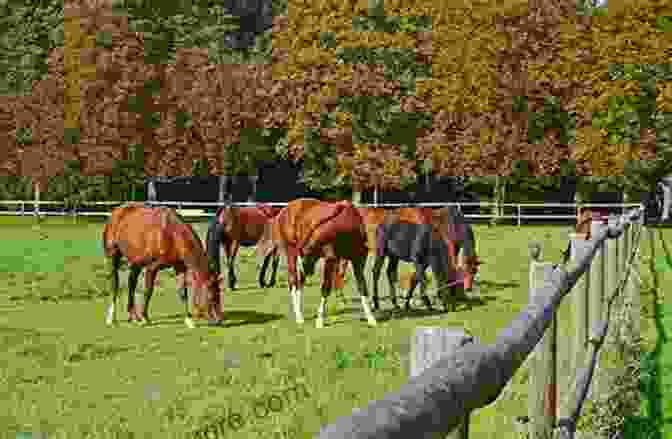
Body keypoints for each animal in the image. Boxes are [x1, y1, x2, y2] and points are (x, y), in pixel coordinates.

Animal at [256, 199, 376, 330]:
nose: (308, 269)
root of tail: (284, 210)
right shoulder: (330, 259)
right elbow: (325, 288)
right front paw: (320, 320)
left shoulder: (358, 260)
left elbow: (362, 287)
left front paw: (371, 319)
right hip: (291, 251)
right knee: (293, 280)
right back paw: (299, 316)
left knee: (299, 282)